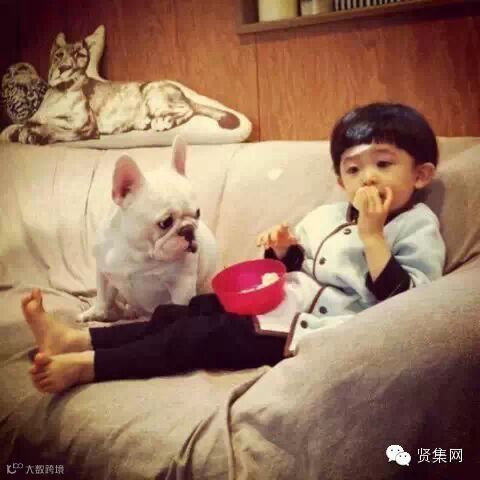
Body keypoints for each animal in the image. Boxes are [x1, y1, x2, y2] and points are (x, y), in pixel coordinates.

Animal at [78, 135, 217, 322]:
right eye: (165, 222)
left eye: (198, 213)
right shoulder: (103, 271)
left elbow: (180, 305)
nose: (189, 229)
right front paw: (95, 313)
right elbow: (102, 296)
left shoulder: (182, 284)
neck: (136, 252)